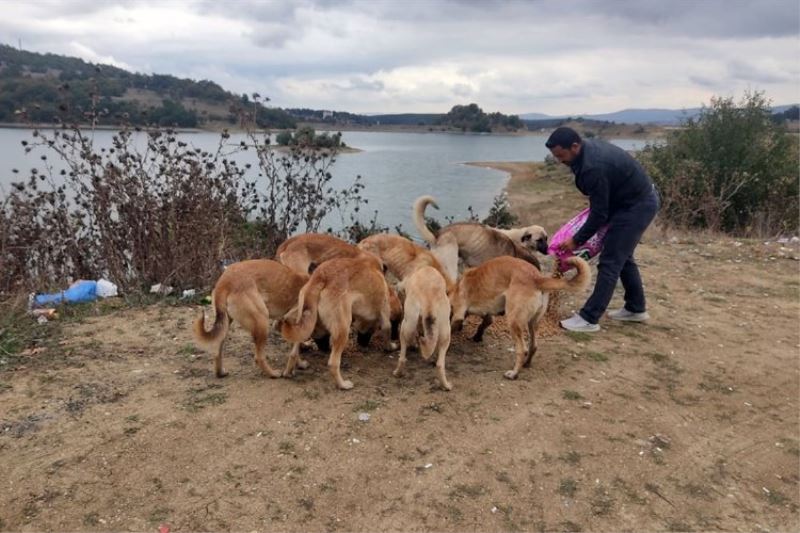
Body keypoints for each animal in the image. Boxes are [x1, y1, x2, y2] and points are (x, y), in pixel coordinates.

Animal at [282, 256, 400, 388]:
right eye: (395, 322)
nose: (362, 344)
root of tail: (321, 276)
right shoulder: (384, 312)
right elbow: (387, 330)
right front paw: (391, 346)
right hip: (343, 329)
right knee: (333, 363)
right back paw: (342, 384)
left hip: (303, 319)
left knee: (293, 352)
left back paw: (290, 370)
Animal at [450, 256, 592, 380]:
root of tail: (536, 278)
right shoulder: (487, 313)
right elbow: (484, 323)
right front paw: (477, 336)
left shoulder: (458, 314)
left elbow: (453, 326)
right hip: (533, 323)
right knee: (533, 346)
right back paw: (526, 364)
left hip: (513, 321)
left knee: (522, 349)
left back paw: (514, 373)